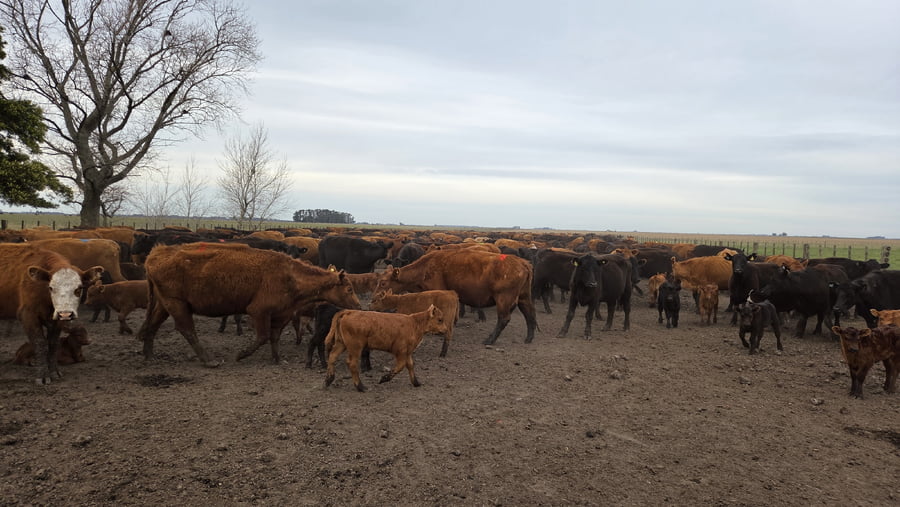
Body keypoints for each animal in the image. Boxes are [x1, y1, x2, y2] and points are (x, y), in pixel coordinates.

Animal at [0, 244, 104, 383]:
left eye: (79, 288)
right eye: (51, 287)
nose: (66, 314)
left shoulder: (57, 321)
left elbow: (53, 344)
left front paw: (54, 372)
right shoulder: (28, 315)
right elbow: (40, 344)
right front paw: (43, 376)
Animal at [136, 243, 361, 366]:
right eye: (349, 289)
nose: (359, 307)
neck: (290, 276)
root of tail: (155, 254)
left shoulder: (282, 314)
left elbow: (274, 337)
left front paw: (277, 359)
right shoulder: (258, 311)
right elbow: (262, 337)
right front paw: (241, 354)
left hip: (165, 305)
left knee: (152, 326)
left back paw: (149, 356)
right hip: (177, 305)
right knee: (187, 330)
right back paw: (209, 360)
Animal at [374, 248, 537, 345]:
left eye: (383, 283)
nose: (375, 297)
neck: (425, 268)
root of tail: (522, 262)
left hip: (503, 299)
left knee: (504, 319)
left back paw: (489, 340)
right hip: (523, 297)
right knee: (530, 314)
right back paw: (528, 338)